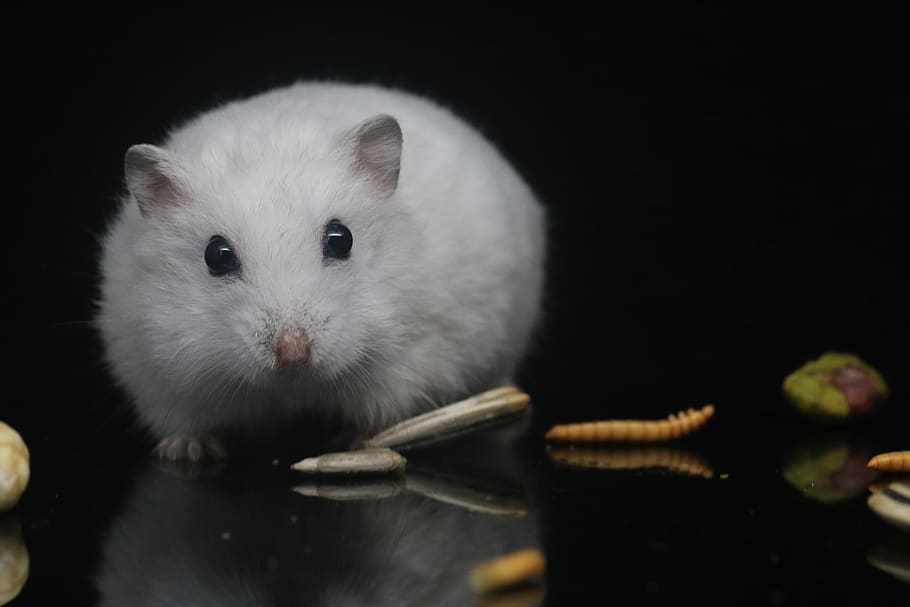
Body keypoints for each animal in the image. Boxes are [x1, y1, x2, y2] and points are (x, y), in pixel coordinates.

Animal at [96, 81, 547, 460]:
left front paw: (353, 442)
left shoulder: (417, 352)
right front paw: (190, 452)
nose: (293, 354)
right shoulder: (153, 367)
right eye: (217, 255)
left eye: (341, 239)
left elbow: (383, 406)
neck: (296, 389)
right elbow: (183, 420)